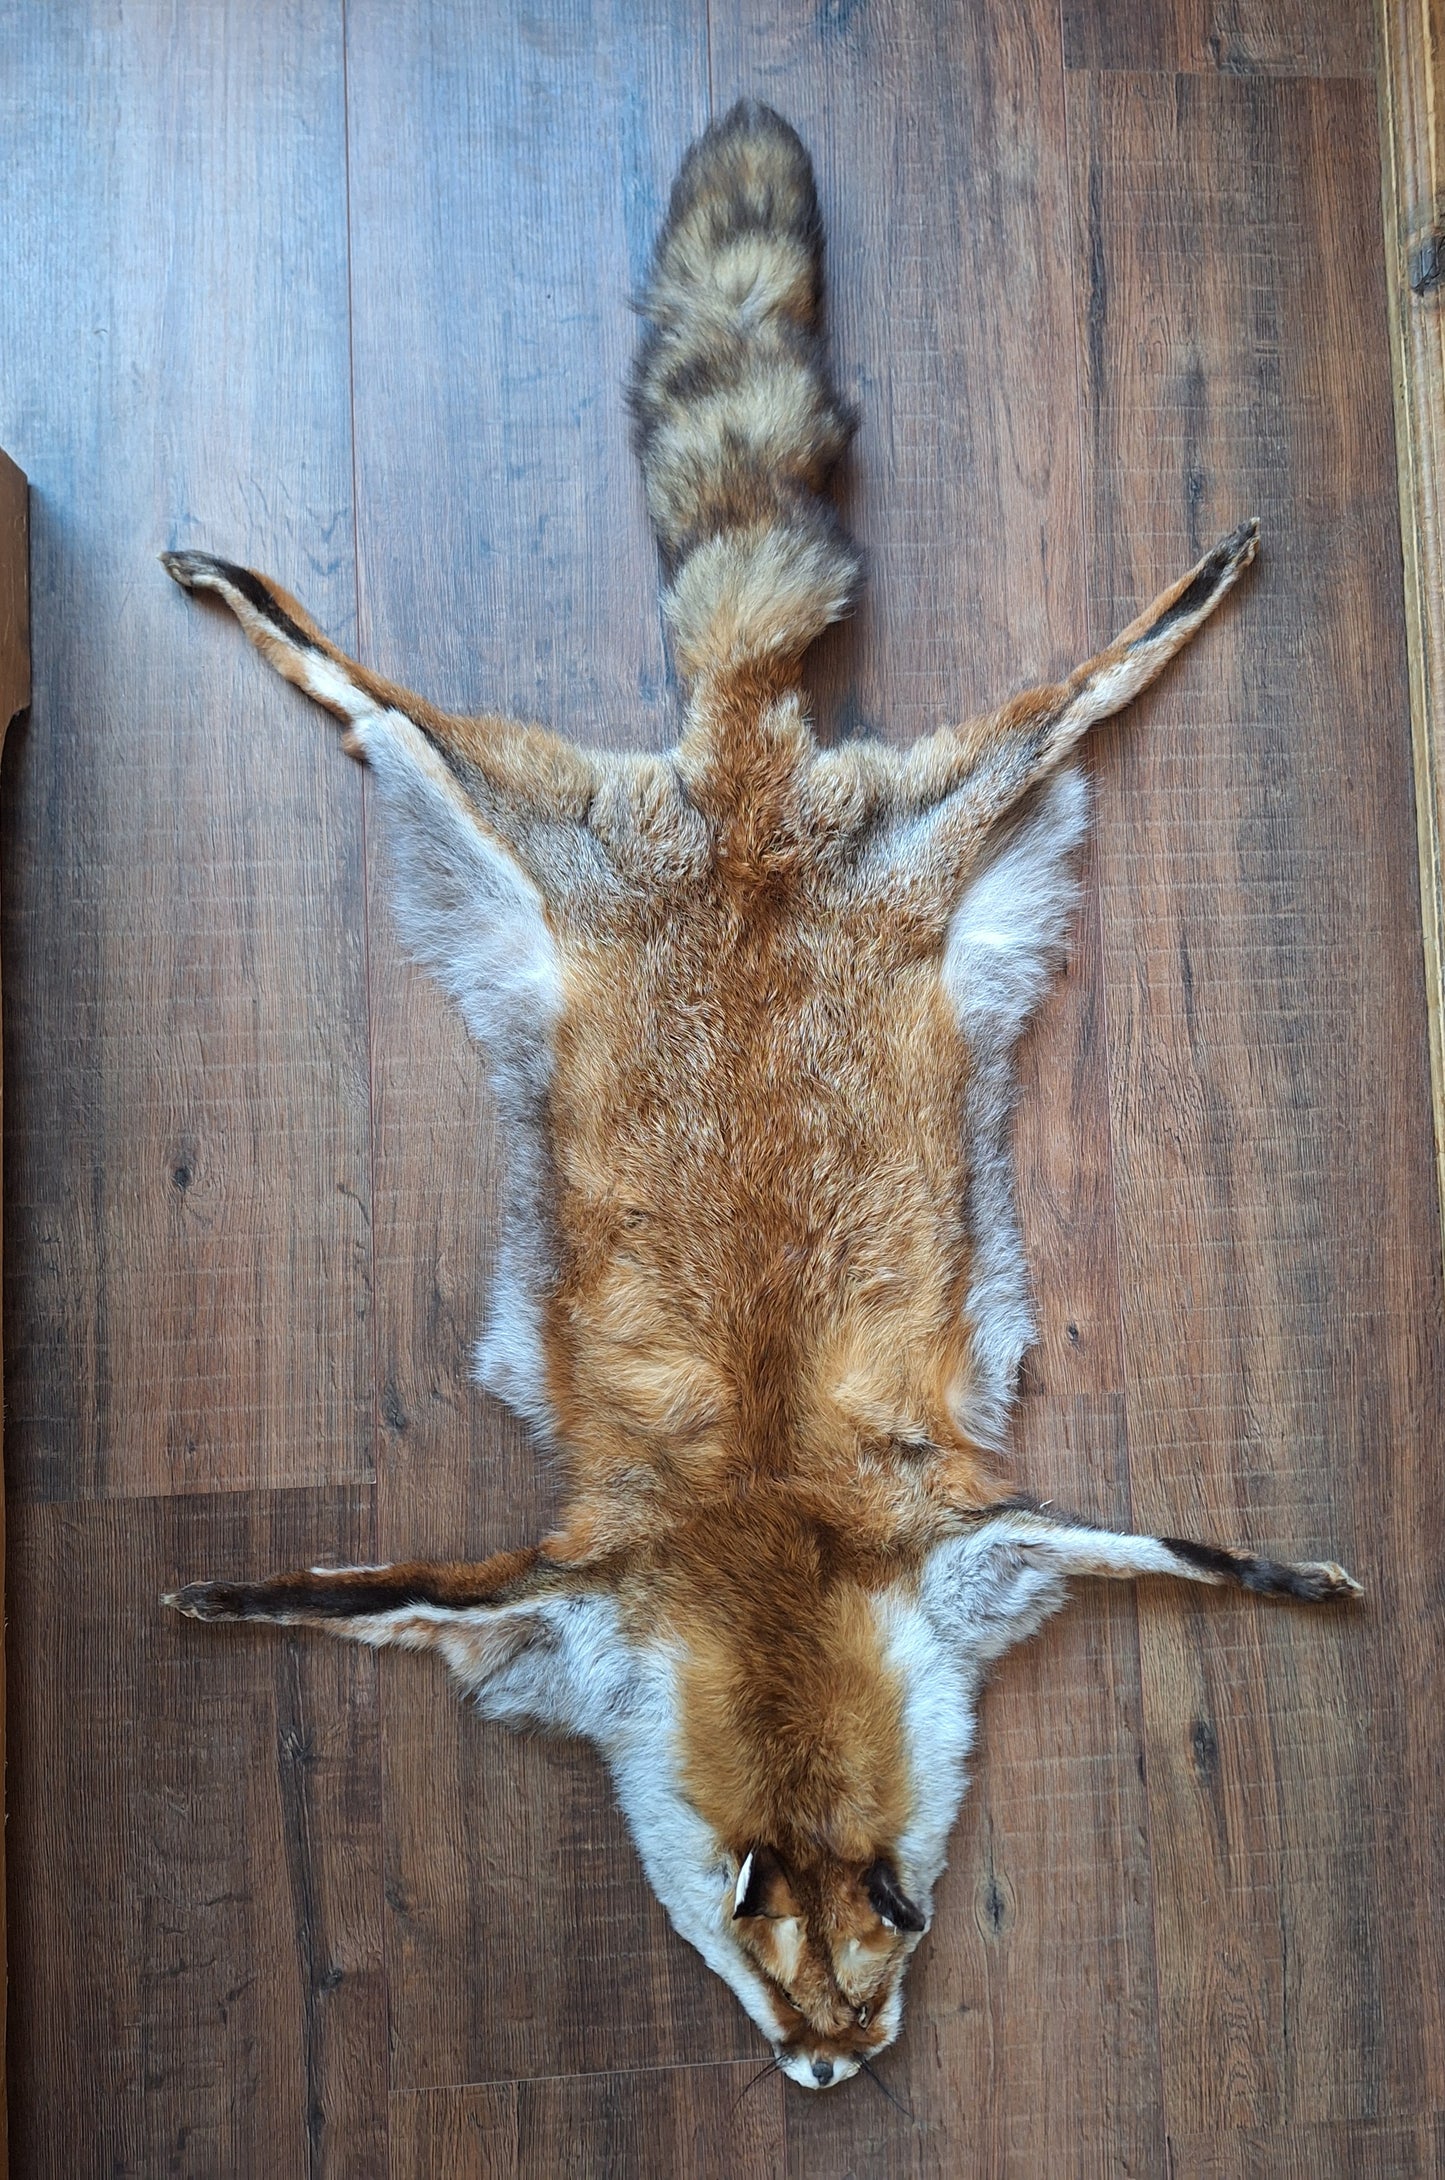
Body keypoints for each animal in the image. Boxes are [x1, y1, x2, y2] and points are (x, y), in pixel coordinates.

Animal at [161, 101, 1360, 2092]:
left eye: (894, 1910)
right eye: (749, 1926)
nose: (834, 2069)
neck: (765, 1520)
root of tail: (734, 793)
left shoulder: (944, 1533)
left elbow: (1176, 1541)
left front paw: (1294, 1578)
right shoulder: (592, 1575)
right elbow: (347, 1596)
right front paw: (228, 1602)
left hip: (944, 828)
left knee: (1075, 690)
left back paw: (1185, 589)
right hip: (535, 831)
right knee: (377, 698)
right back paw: (262, 603)